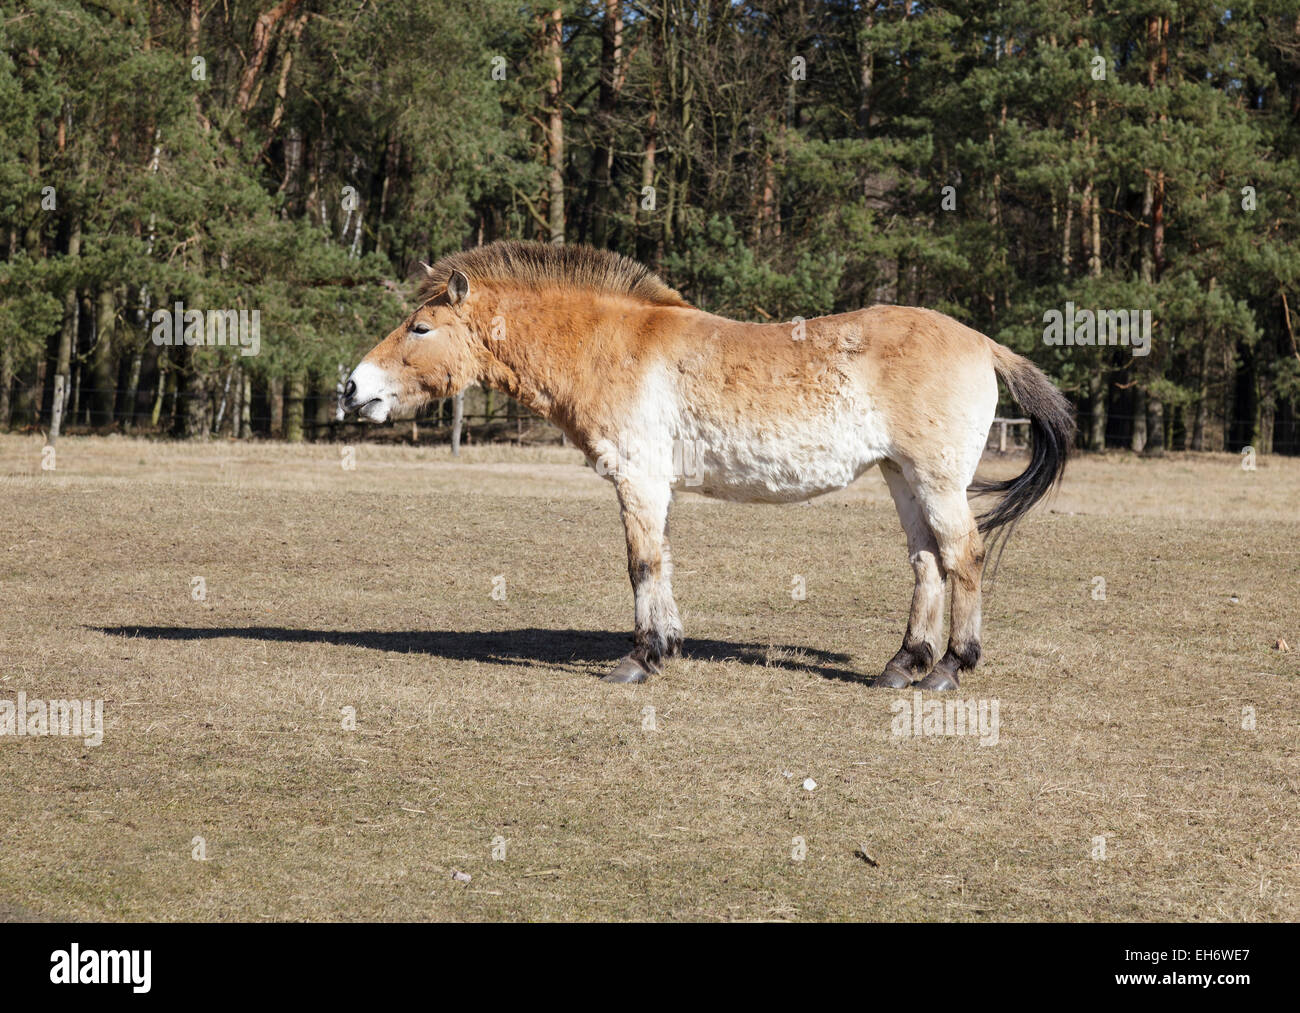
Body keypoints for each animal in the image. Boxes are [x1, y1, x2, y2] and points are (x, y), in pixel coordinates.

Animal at [340, 241, 1071, 691]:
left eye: (419, 328)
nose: (351, 388)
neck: (612, 344)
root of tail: (983, 343)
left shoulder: (637, 478)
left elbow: (641, 562)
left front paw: (639, 658)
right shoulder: (652, 485)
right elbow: (658, 560)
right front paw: (664, 645)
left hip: (936, 479)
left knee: (963, 556)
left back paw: (949, 667)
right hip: (902, 477)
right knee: (926, 561)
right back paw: (901, 664)